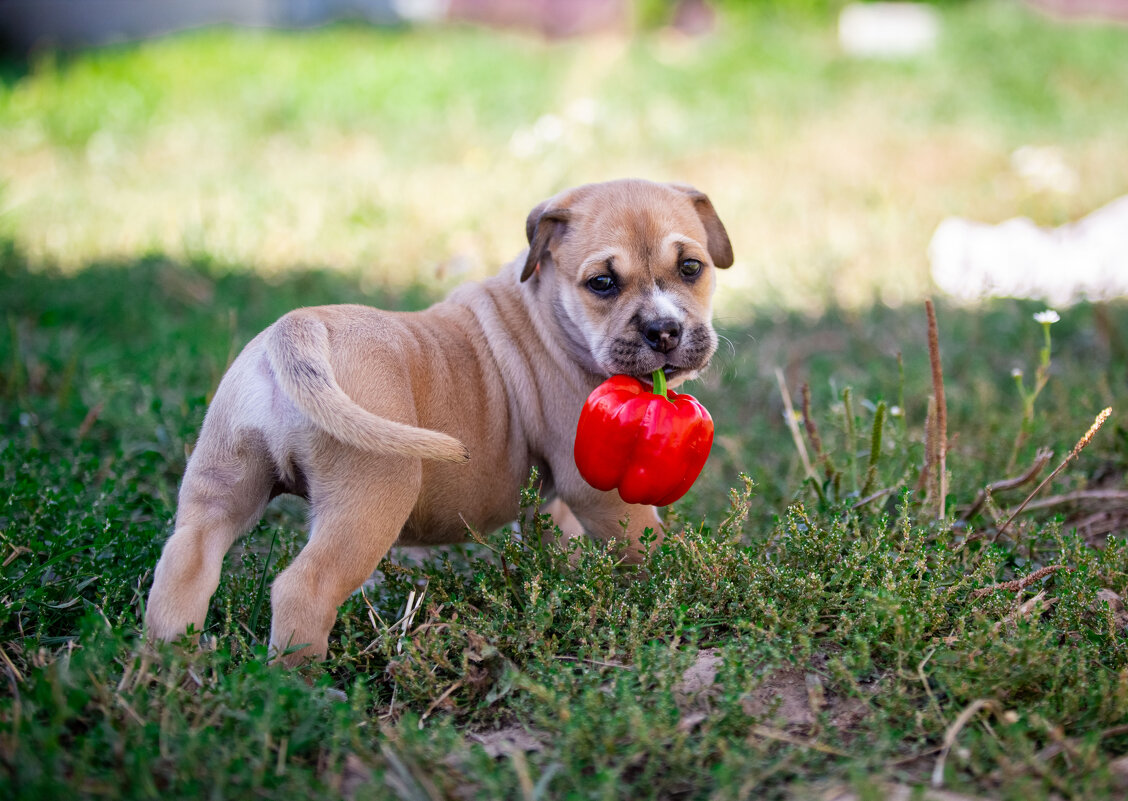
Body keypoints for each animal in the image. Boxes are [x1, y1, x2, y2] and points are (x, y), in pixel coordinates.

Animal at [145, 180, 735, 663]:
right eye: (603, 283)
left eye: (691, 268)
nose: (664, 331)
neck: (548, 312)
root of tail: (299, 328)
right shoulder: (599, 491)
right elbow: (645, 542)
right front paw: (680, 583)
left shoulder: (556, 498)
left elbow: (557, 538)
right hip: (370, 501)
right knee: (303, 588)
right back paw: (299, 689)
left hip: (223, 481)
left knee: (186, 562)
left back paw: (167, 672)